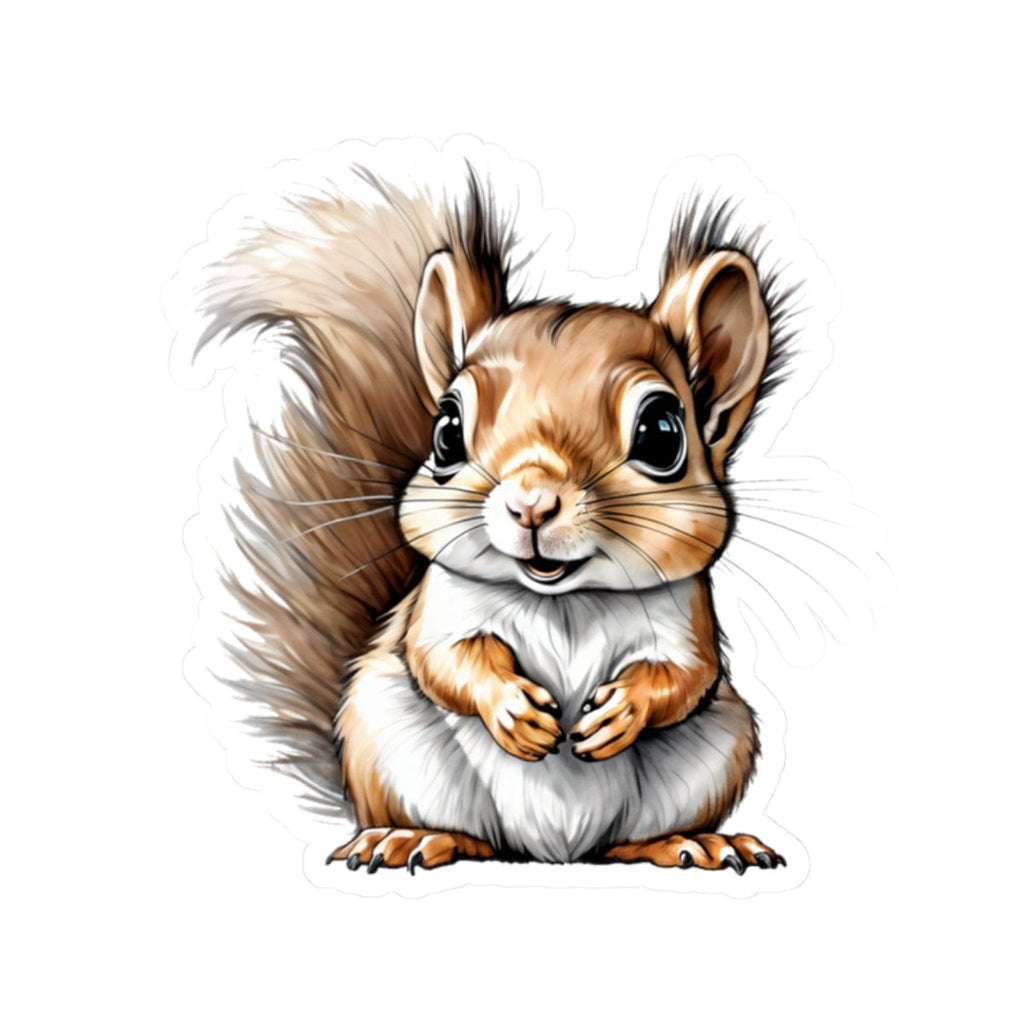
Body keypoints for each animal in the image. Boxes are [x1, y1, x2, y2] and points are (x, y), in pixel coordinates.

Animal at [191, 157, 794, 875]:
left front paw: (622, 711)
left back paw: (690, 842)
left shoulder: (688, 623)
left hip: (720, 747)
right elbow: (445, 662)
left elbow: (682, 678)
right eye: (446, 432)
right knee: (465, 833)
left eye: (661, 433)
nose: (531, 501)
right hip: (385, 744)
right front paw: (511, 708)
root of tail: (554, 854)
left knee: (626, 842)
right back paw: (411, 837)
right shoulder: (438, 610)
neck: (566, 601)